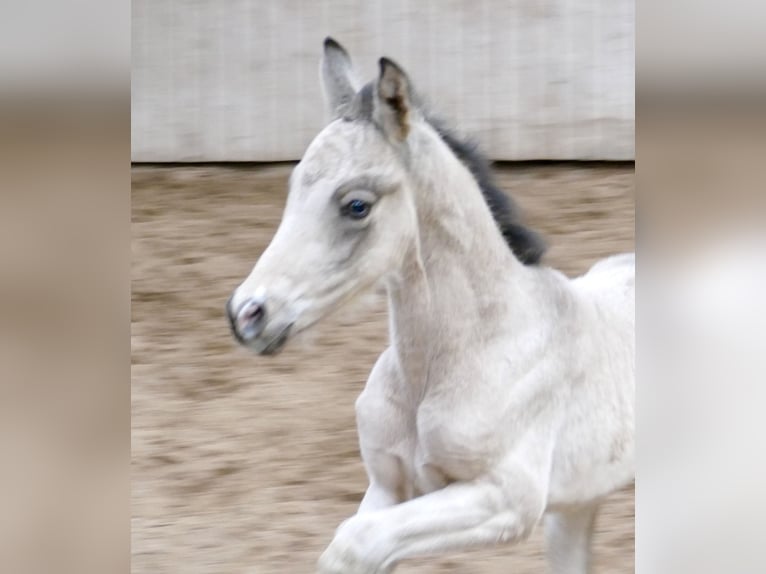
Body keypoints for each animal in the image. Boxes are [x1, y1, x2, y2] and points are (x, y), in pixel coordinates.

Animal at [226, 38, 634, 574]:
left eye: (356, 205)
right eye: (295, 187)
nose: (247, 314)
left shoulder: (508, 500)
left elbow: (352, 545)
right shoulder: (388, 485)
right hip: (577, 506)